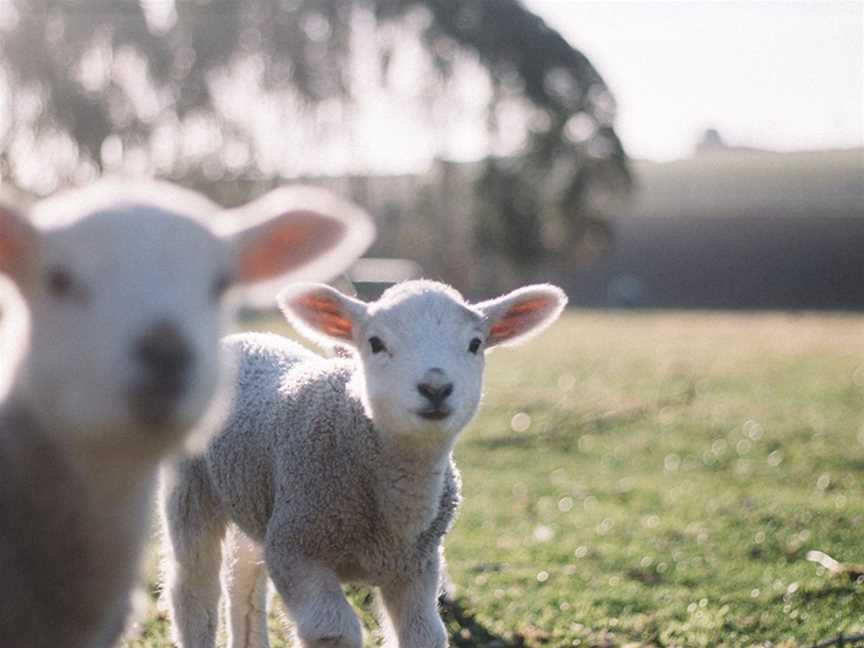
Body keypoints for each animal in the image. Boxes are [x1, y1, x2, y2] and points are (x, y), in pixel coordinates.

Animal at [161, 278, 568, 648]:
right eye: (376, 343)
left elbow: (424, 634)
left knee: (244, 582)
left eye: (475, 344)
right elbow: (332, 630)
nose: (435, 387)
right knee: (193, 589)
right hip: (191, 488)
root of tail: (245, 337)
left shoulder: (418, 566)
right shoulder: (296, 548)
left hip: (257, 498)